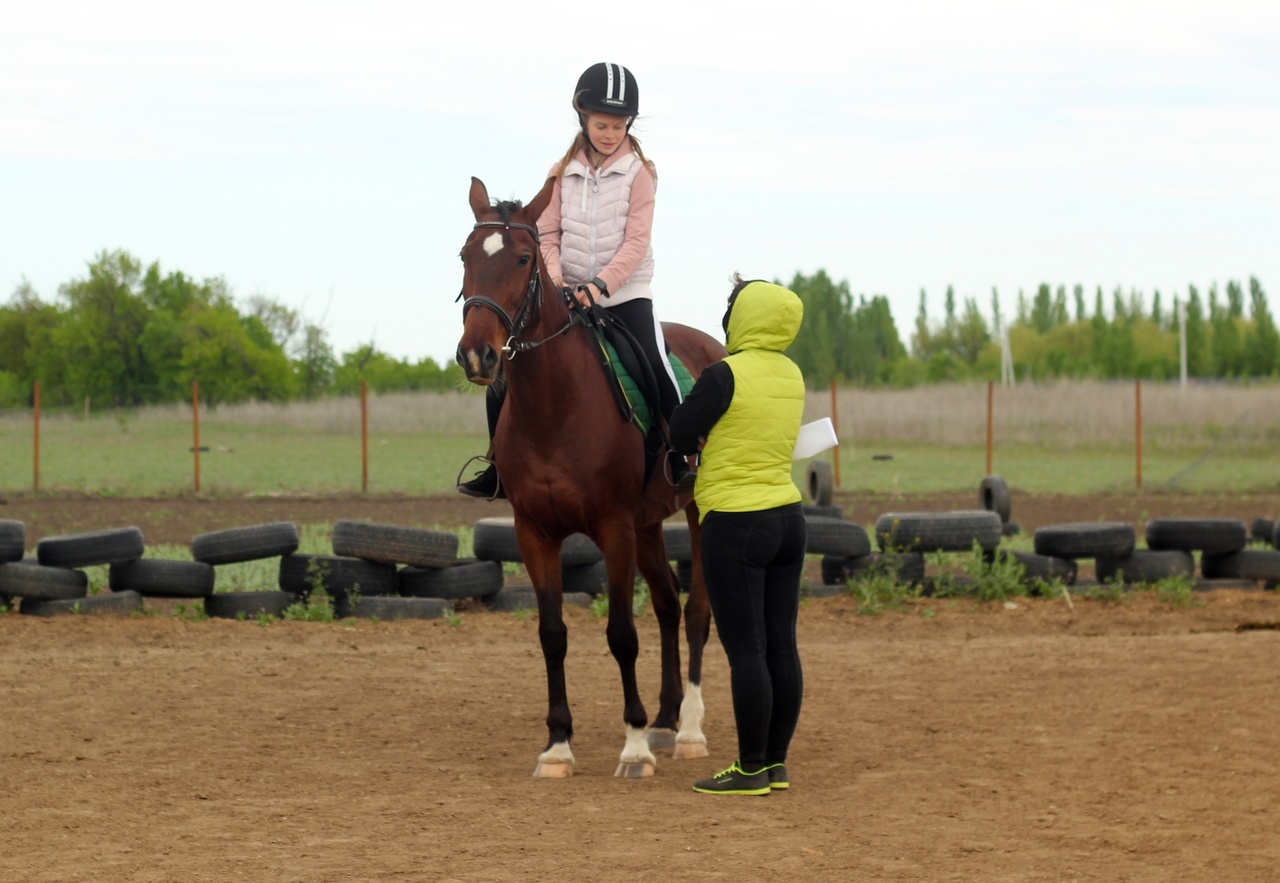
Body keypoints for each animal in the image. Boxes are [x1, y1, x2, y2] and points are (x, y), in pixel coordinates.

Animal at [455, 175, 727, 772]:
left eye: (523, 259)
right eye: (465, 255)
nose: (478, 355)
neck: (555, 406)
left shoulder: (612, 528)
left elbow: (621, 633)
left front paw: (633, 745)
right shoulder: (534, 532)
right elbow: (552, 633)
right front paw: (558, 745)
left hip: (698, 512)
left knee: (696, 612)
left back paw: (689, 730)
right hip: (649, 524)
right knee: (668, 608)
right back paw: (666, 720)